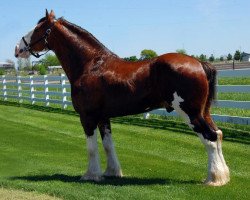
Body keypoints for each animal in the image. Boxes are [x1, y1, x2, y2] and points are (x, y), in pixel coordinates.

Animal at [14, 10, 229, 186]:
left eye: (38, 28)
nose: (17, 48)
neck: (91, 65)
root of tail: (199, 63)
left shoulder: (87, 117)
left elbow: (92, 147)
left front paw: (91, 175)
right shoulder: (103, 117)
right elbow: (108, 145)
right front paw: (112, 172)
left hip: (189, 112)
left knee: (209, 138)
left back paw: (213, 179)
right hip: (203, 112)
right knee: (218, 134)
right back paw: (223, 176)